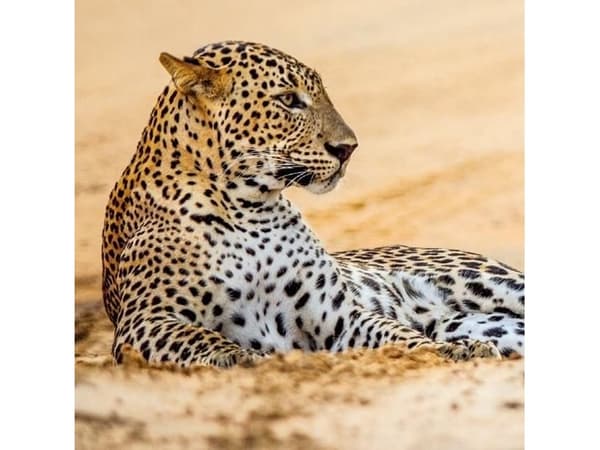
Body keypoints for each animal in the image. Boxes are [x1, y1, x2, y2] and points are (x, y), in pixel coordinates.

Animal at [103, 39, 524, 370]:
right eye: (289, 100)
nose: (348, 148)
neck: (248, 207)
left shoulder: (338, 315)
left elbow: (400, 334)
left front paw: (455, 352)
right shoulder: (146, 320)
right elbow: (205, 340)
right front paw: (244, 358)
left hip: (487, 281)